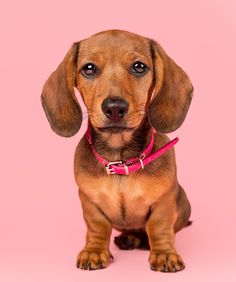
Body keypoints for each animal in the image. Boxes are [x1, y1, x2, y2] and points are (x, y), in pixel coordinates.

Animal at [41, 29, 192, 272]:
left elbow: (159, 227)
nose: (114, 108)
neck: (120, 159)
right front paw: (94, 251)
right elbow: (97, 227)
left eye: (139, 66)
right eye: (89, 68)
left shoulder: (165, 201)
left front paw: (164, 254)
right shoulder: (89, 201)